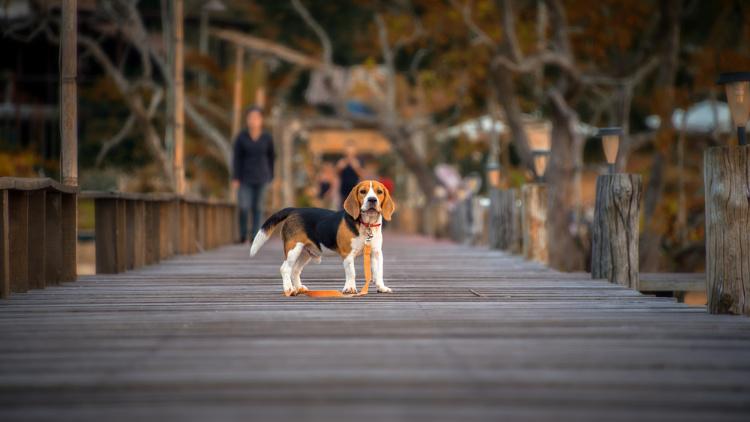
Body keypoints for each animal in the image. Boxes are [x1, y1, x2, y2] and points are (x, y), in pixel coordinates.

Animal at [250, 181, 396, 296]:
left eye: (379, 192)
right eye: (363, 192)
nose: (372, 200)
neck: (367, 224)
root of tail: (294, 210)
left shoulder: (376, 253)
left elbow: (378, 272)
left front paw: (381, 287)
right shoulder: (348, 254)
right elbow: (351, 273)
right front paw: (350, 288)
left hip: (305, 252)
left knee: (295, 270)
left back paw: (299, 288)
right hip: (293, 249)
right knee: (285, 268)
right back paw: (289, 289)